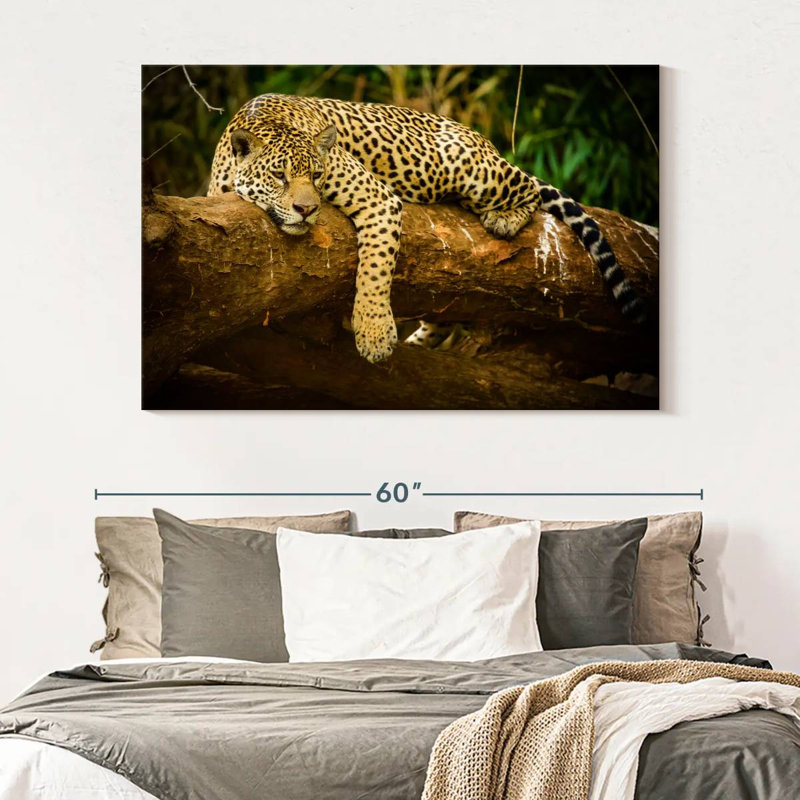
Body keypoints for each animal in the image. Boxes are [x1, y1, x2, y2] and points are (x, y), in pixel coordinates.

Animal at [208, 94, 646, 363]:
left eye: (317, 175)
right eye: (279, 176)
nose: (306, 208)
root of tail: (481, 138)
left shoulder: (378, 198)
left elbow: (374, 270)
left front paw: (374, 334)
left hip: (469, 168)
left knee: (527, 186)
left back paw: (504, 217)